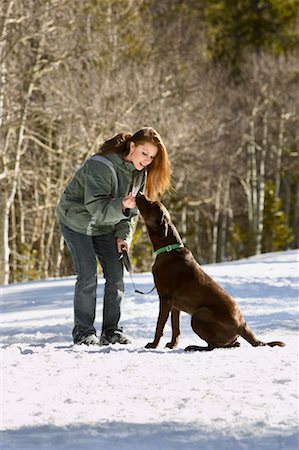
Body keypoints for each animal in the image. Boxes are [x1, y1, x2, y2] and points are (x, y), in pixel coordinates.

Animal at [136, 193, 286, 352]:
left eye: (152, 204)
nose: (139, 193)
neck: (168, 249)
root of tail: (242, 325)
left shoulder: (165, 298)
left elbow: (160, 325)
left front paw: (153, 344)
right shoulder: (175, 305)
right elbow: (176, 327)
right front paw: (172, 345)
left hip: (199, 315)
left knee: (213, 346)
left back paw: (194, 347)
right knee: (231, 344)